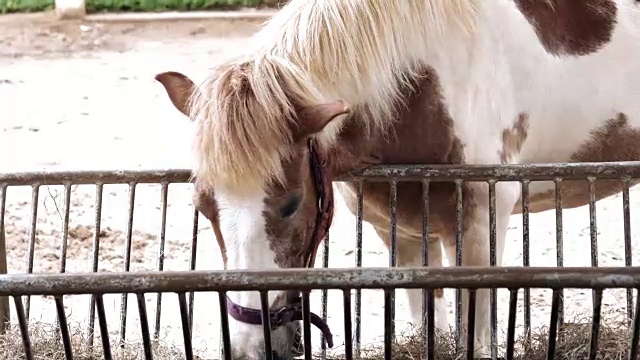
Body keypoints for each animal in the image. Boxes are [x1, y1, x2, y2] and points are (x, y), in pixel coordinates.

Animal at [154, 1, 640, 358]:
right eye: (203, 206)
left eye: (291, 203)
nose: (249, 348)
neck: (422, 84)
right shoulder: (400, 232)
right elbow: (427, 319)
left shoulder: (480, 232)